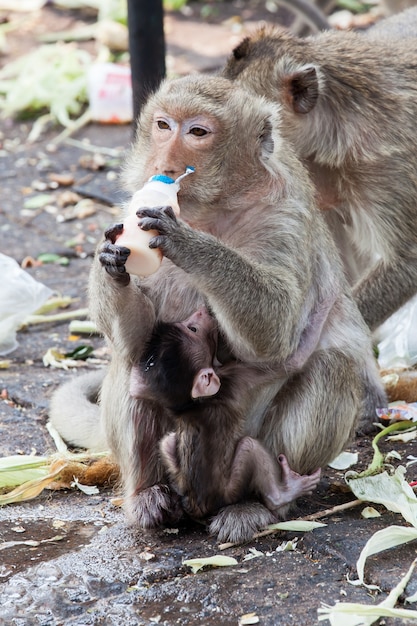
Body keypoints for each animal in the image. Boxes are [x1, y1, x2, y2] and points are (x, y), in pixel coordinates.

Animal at [132, 308, 320, 528]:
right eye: (193, 329)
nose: (201, 311)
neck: (194, 402)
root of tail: (197, 506)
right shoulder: (237, 376)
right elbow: (295, 360)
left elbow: (137, 389)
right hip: (229, 491)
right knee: (248, 447)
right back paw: (283, 493)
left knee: (167, 442)